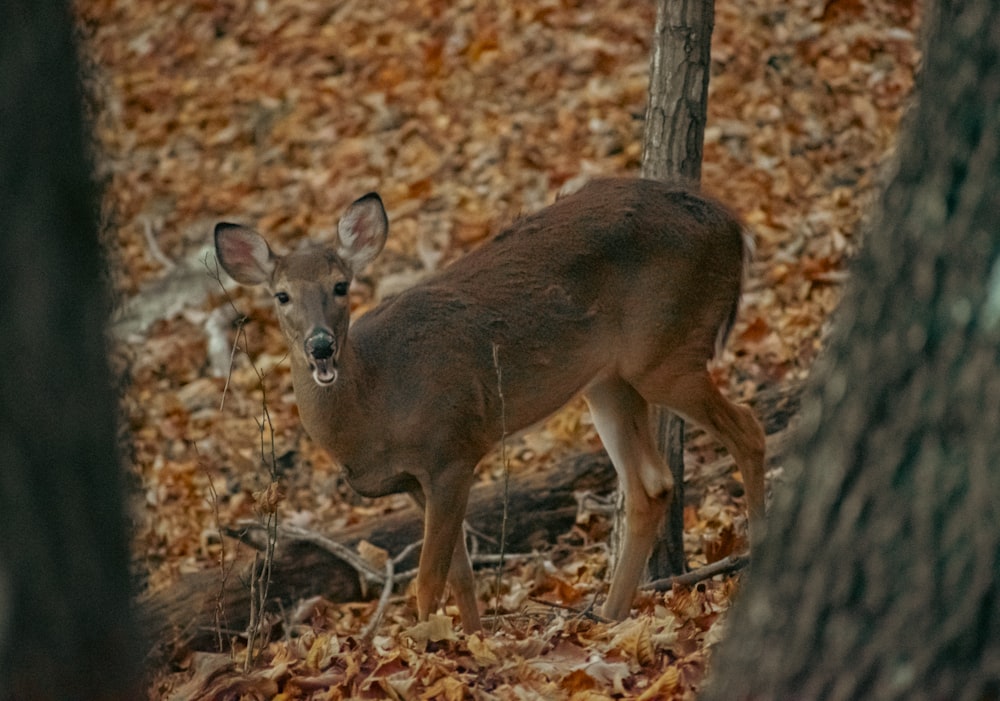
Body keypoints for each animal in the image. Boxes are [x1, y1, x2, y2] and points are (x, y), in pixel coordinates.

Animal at [215, 178, 764, 632]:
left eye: (340, 285)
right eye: (282, 295)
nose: (321, 346)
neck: (376, 403)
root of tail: (734, 228)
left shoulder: (451, 449)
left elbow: (429, 578)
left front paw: (424, 651)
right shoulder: (416, 481)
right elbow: (459, 574)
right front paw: (472, 641)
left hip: (667, 350)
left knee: (748, 429)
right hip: (608, 379)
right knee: (652, 485)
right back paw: (608, 616)